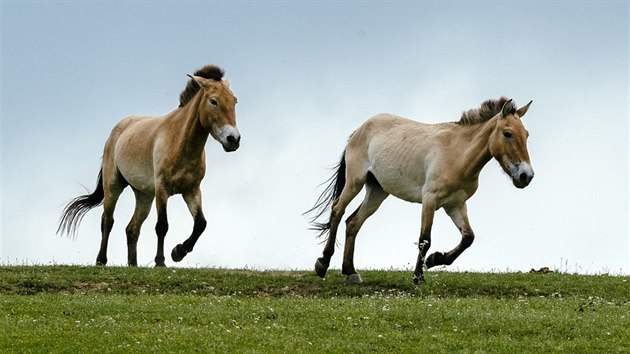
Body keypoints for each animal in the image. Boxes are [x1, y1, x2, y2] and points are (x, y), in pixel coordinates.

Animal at [57, 65, 242, 266]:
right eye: (213, 101)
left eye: (234, 101)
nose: (233, 139)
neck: (180, 142)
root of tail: (118, 129)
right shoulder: (162, 188)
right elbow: (162, 226)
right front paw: (161, 261)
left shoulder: (191, 190)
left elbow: (200, 224)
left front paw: (178, 252)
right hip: (113, 186)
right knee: (107, 220)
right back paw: (101, 260)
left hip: (144, 195)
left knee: (132, 228)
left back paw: (133, 264)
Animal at [308, 97, 536, 284]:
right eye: (507, 133)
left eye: (526, 135)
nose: (526, 176)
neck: (457, 154)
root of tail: (360, 129)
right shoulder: (430, 200)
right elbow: (424, 240)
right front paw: (418, 277)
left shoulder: (455, 204)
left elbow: (468, 237)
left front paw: (435, 259)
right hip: (355, 181)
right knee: (338, 210)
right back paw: (322, 264)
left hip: (378, 191)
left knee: (354, 222)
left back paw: (351, 272)